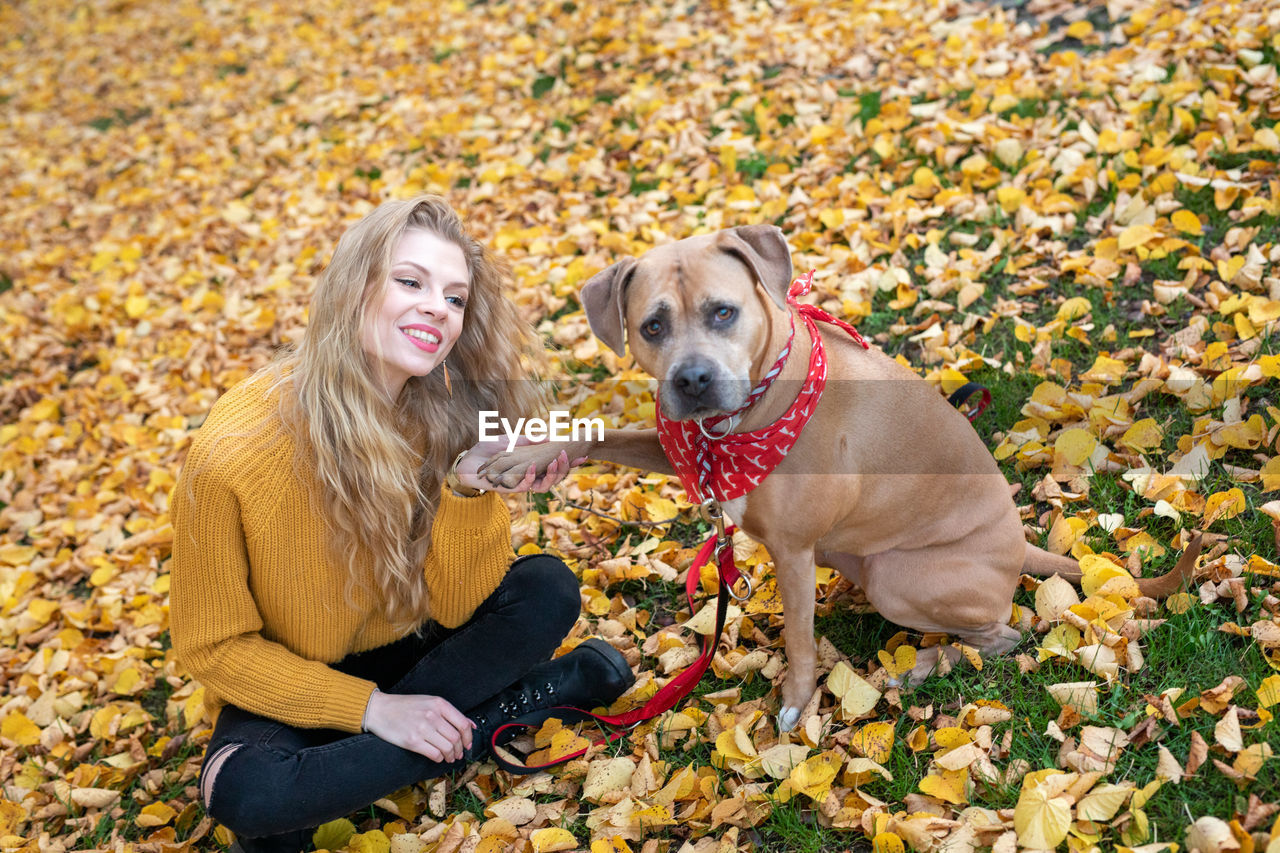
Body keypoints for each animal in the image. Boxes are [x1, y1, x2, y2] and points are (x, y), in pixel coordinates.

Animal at [481, 225, 1198, 732]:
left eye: (722, 312)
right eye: (652, 325)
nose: (692, 380)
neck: (743, 420)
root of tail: (1021, 546)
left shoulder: (793, 550)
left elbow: (799, 642)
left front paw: (797, 707)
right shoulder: (674, 440)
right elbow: (600, 432)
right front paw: (518, 457)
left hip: (900, 577)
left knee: (1001, 635)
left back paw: (919, 667)